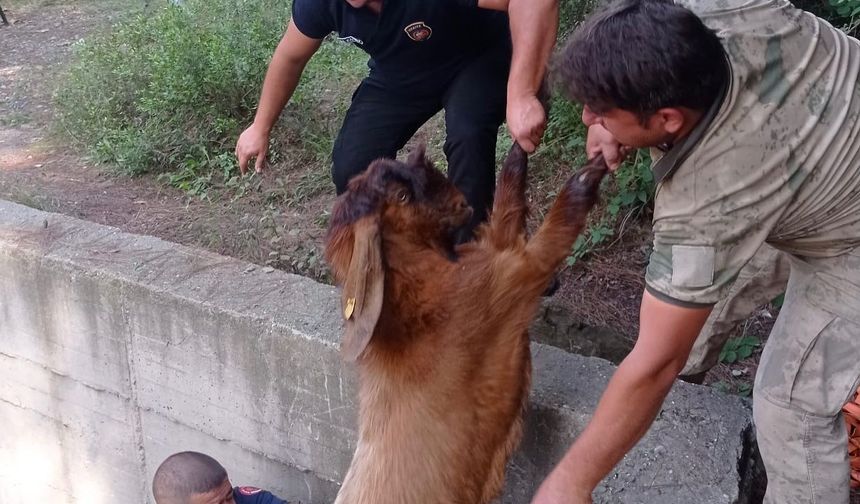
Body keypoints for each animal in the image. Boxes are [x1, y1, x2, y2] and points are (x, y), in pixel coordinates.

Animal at [324, 143, 612, 504]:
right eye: (402, 196)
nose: (461, 202)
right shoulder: (508, 278)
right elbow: (551, 235)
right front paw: (591, 171)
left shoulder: (490, 255)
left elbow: (505, 211)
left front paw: (518, 148)